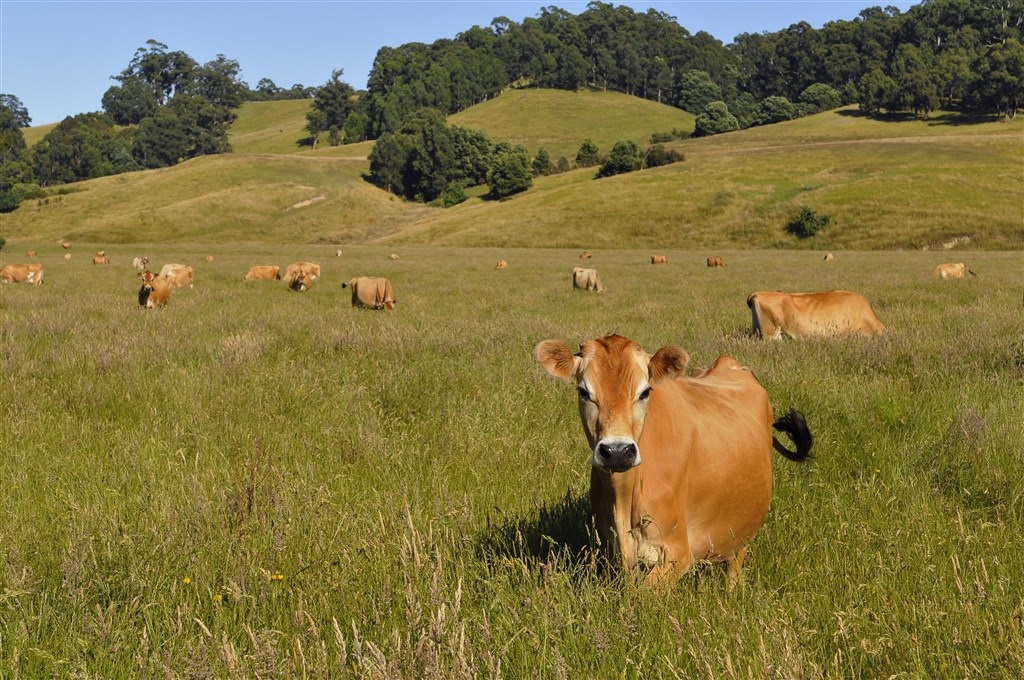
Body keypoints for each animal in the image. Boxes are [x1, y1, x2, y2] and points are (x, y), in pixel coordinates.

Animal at [536, 333, 815, 585]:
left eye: (645, 392)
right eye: (584, 392)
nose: (617, 451)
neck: (625, 497)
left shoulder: (676, 553)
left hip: (740, 530)